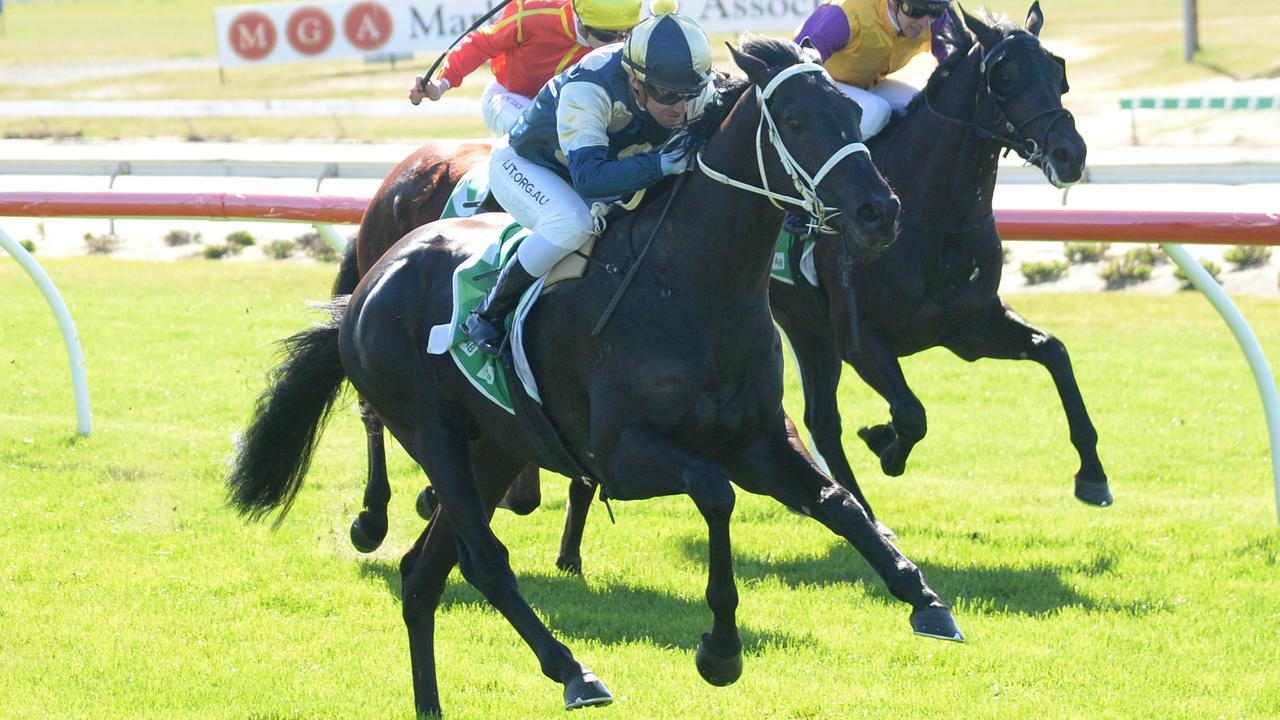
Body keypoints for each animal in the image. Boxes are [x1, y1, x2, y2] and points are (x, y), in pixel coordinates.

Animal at [225, 40, 962, 717]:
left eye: (852, 112)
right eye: (800, 122)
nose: (880, 213)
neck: (693, 287)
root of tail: (372, 283)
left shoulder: (758, 437)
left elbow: (839, 503)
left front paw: (923, 596)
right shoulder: (621, 455)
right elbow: (715, 491)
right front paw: (720, 649)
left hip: (494, 446)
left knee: (422, 576)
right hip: (431, 433)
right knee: (483, 560)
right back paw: (574, 671)